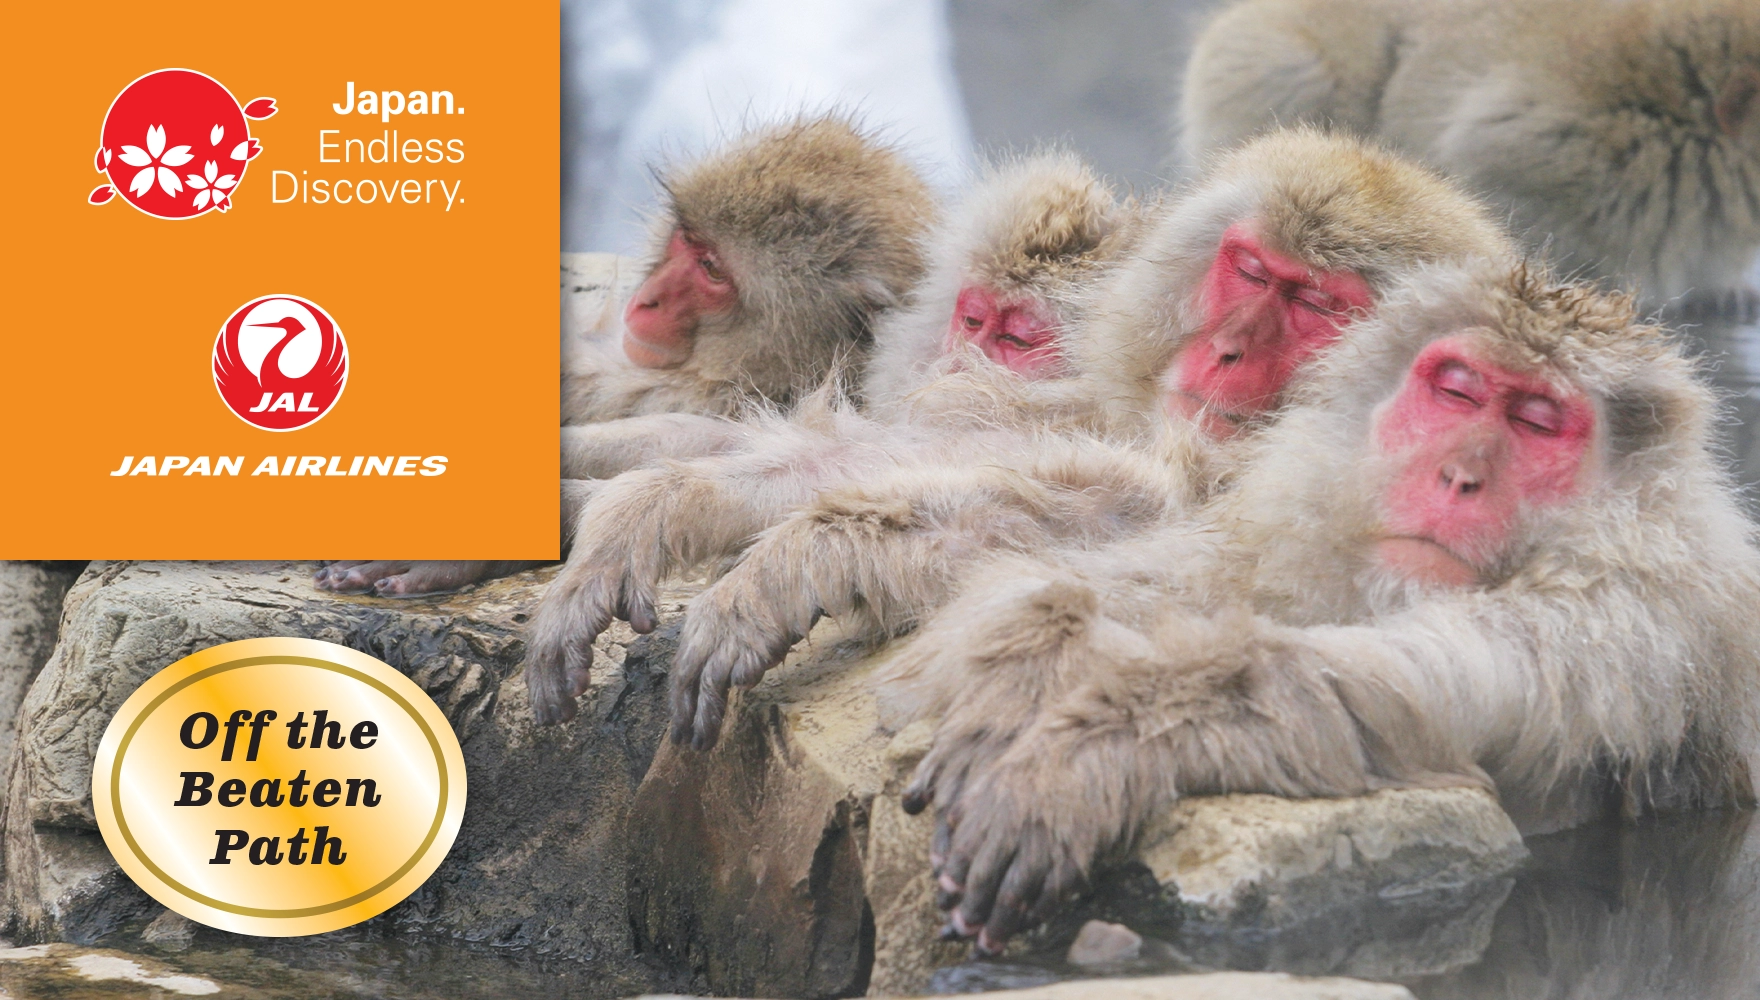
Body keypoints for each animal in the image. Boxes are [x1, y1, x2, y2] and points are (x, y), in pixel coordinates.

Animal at [523, 149, 1148, 724]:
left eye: (1016, 340)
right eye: (972, 321)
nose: (954, 365)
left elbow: (1099, 514)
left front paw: (782, 573)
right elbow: (832, 450)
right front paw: (625, 508)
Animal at [883, 262, 1760, 954]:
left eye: (1538, 423)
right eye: (1457, 392)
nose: (1458, 476)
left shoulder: (1630, 617)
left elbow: (1408, 692)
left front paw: (1093, 751)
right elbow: (1168, 580)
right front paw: (1025, 665)